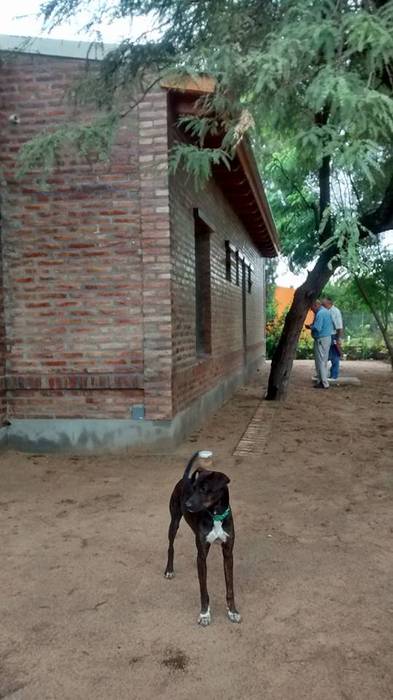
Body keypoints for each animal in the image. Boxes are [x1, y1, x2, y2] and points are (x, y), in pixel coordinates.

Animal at [164, 452, 240, 628]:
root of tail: (185, 478)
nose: (187, 504)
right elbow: (203, 589)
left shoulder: (228, 554)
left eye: (204, 489)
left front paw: (232, 611)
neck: (215, 516)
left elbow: (230, 587)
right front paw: (205, 614)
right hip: (174, 521)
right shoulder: (204, 551)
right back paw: (169, 569)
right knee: (171, 546)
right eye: (193, 489)